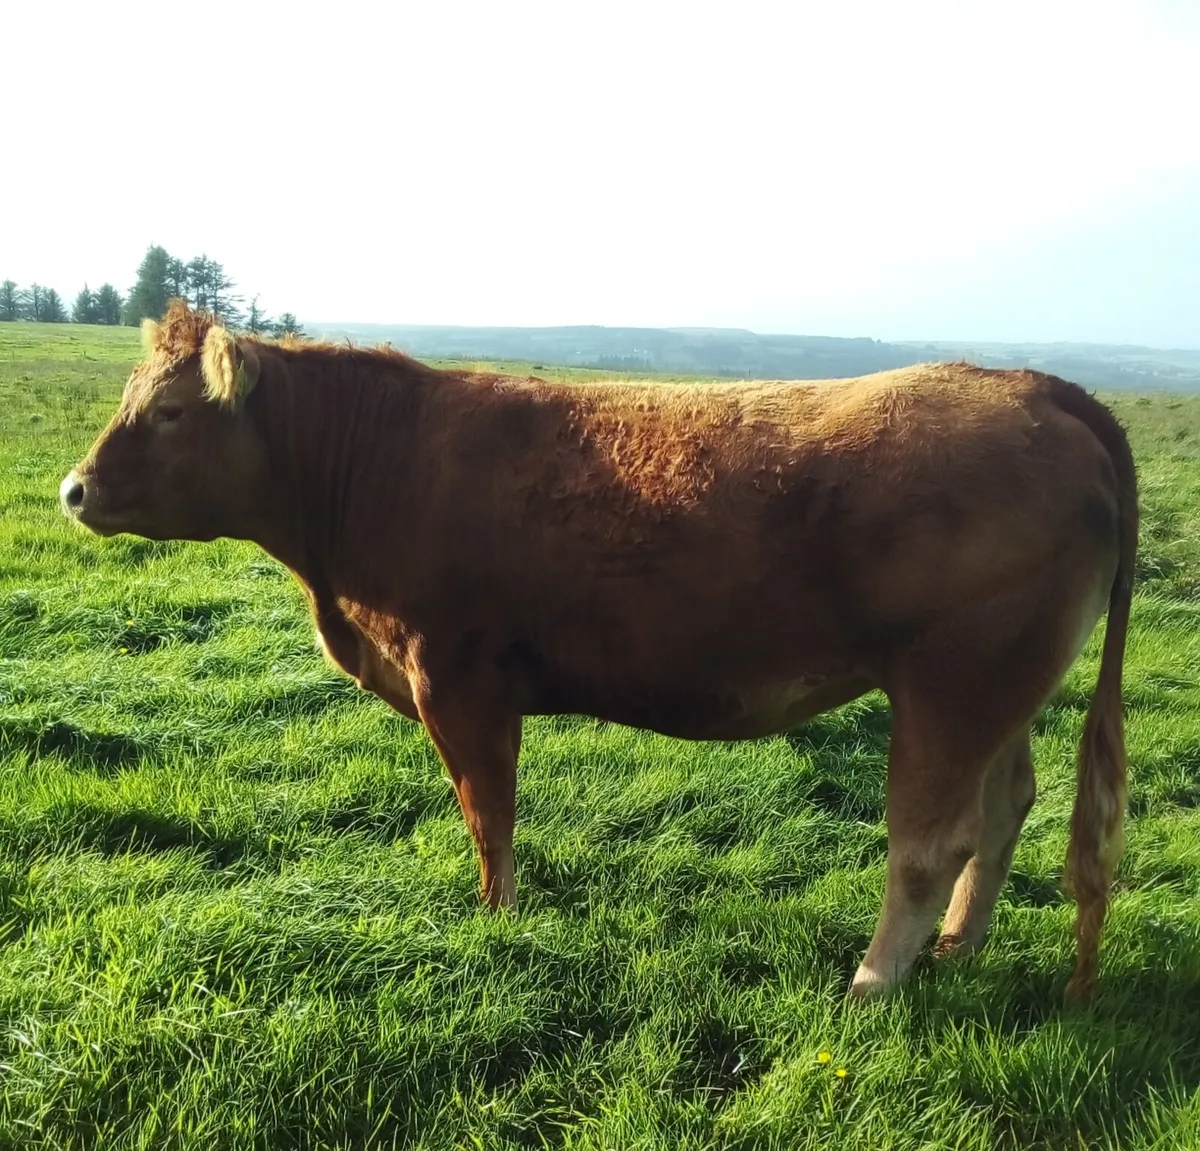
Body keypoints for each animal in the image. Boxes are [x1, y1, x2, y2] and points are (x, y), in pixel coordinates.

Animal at [60, 301, 1137, 1003]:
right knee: (1003, 808)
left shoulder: (458, 680)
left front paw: (498, 923)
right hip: (1002, 688)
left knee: (928, 839)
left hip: (952, 684)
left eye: (168, 410)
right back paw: (958, 945)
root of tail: (1032, 385)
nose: (73, 488)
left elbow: (488, 816)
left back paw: (873, 980)